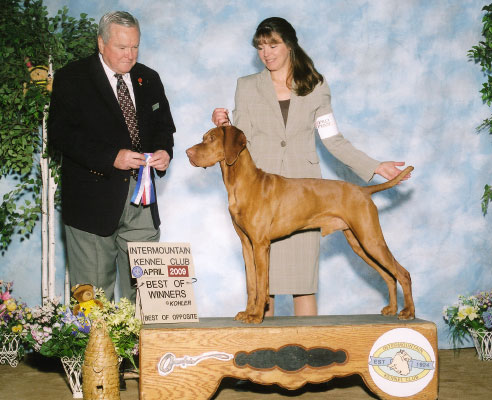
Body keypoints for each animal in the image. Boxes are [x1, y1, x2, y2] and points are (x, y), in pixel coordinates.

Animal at [186, 126, 414, 324]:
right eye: (203, 137)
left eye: (212, 138)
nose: (187, 152)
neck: (242, 183)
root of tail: (363, 190)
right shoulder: (247, 246)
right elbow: (251, 283)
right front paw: (248, 312)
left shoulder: (261, 245)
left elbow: (261, 282)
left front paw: (257, 315)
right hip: (359, 244)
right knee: (389, 276)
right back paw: (393, 309)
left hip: (370, 239)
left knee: (402, 273)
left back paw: (408, 312)